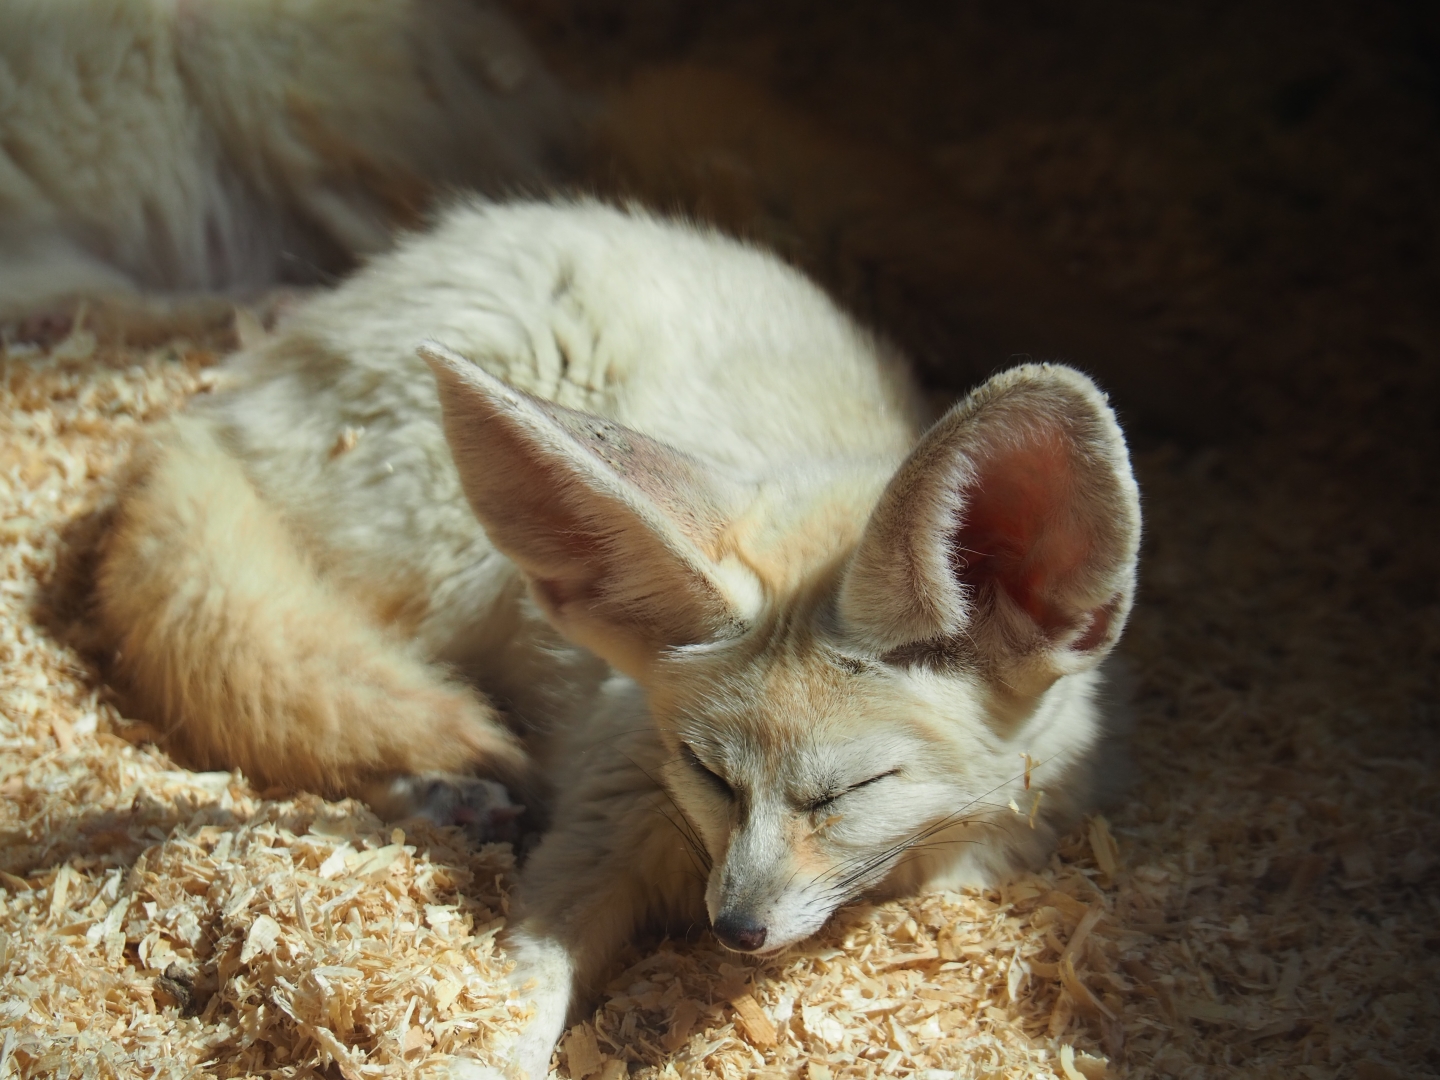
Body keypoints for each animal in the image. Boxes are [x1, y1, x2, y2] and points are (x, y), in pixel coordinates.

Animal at [92, 199, 1141, 1078]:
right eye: (709, 773)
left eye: (849, 792)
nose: (736, 929)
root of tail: (227, 397)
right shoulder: (605, 812)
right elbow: (519, 989)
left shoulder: (1007, 839)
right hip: (441, 575)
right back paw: (442, 791)